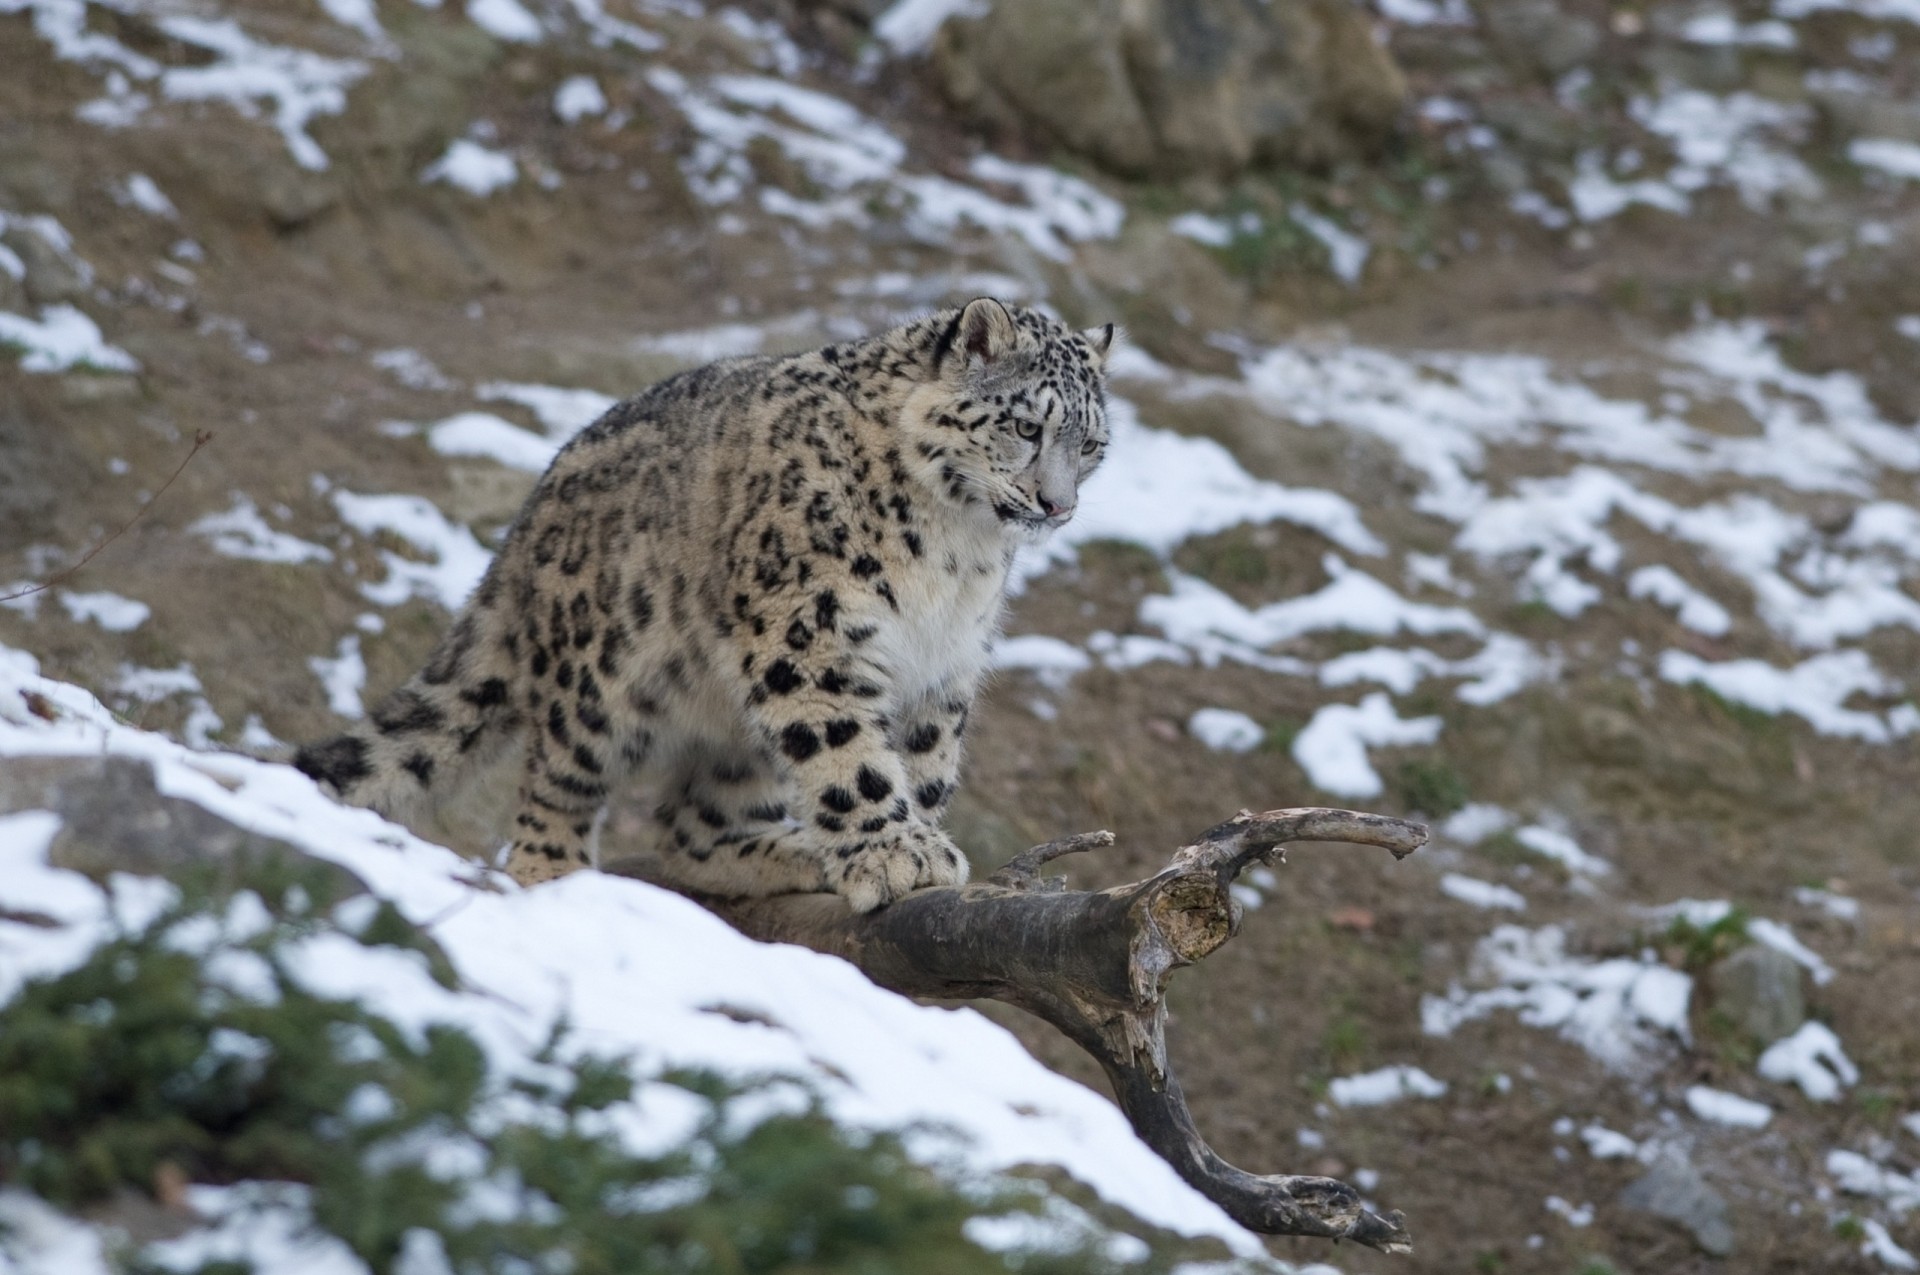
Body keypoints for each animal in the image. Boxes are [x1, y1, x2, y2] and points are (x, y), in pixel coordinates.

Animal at [295, 298, 1116, 912]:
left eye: (1091, 445)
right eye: (1025, 426)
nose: (1057, 505)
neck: (957, 552)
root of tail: (524, 526)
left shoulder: (943, 664)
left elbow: (922, 763)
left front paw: (910, 840)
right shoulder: (807, 630)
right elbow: (849, 752)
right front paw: (898, 853)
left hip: (735, 735)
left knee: (690, 826)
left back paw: (786, 852)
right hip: (599, 678)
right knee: (556, 784)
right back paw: (552, 873)